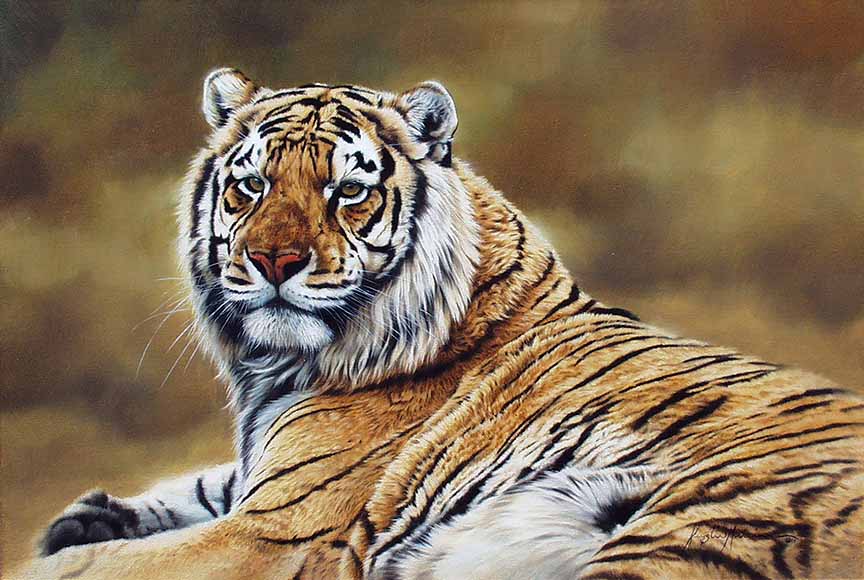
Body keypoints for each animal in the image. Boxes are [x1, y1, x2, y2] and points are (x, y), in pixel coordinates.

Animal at [18, 69, 863, 580]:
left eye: (347, 192)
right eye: (250, 186)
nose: (273, 260)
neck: (276, 366)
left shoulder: (274, 530)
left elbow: (89, 568)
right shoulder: (258, 484)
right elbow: (194, 483)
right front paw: (86, 516)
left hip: (706, 526)